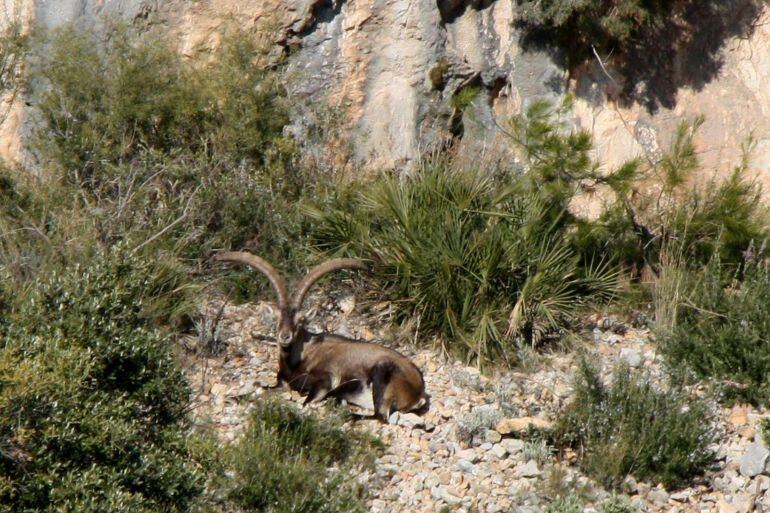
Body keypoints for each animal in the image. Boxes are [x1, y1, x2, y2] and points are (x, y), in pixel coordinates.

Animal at [213, 251, 426, 420]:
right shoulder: (281, 383)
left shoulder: (324, 381)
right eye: (277, 319)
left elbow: (306, 402)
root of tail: (419, 391)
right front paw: (235, 398)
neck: (299, 358)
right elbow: (260, 389)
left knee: (380, 415)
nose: (285, 336)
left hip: (381, 373)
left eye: (300, 321)